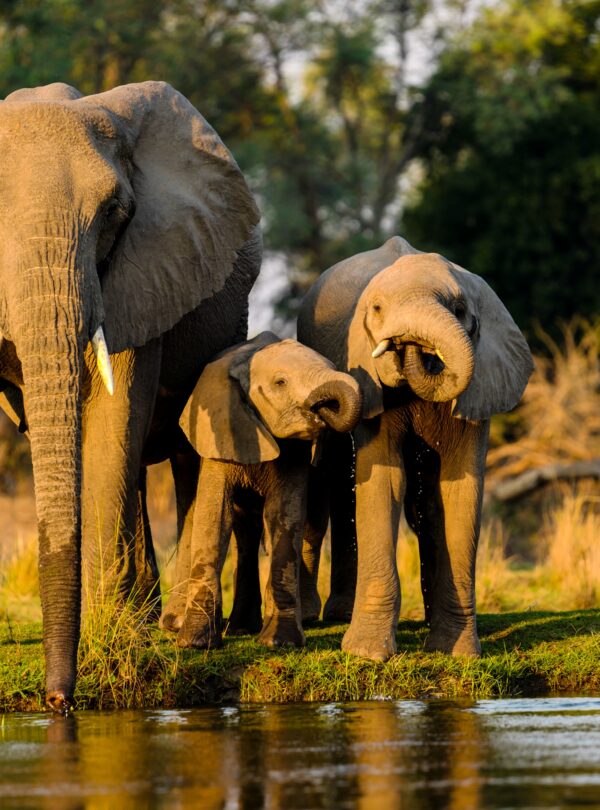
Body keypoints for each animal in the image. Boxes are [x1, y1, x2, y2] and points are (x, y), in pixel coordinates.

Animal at [0, 82, 262, 712]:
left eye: (114, 214)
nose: (58, 702)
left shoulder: (142, 271)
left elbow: (114, 412)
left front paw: (112, 635)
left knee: (189, 457)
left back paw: (176, 628)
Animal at [173, 332, 360, 648]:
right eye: (280, 382)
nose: (324, 409)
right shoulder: (221, 433)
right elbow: (214, 517)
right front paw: (195, 643)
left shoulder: (295, 451)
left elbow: (283, 517)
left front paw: (279, 643)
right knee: (246, 531)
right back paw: (239, 629)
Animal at [298, 237, 532, 660]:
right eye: (376, 309)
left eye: (459, 310)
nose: (409, 344)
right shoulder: (367, 379)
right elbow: (384, 479)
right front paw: (367, 654)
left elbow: (460, 490)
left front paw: (457, 652)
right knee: (337, 481)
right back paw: (331, 615)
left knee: (423, 505)